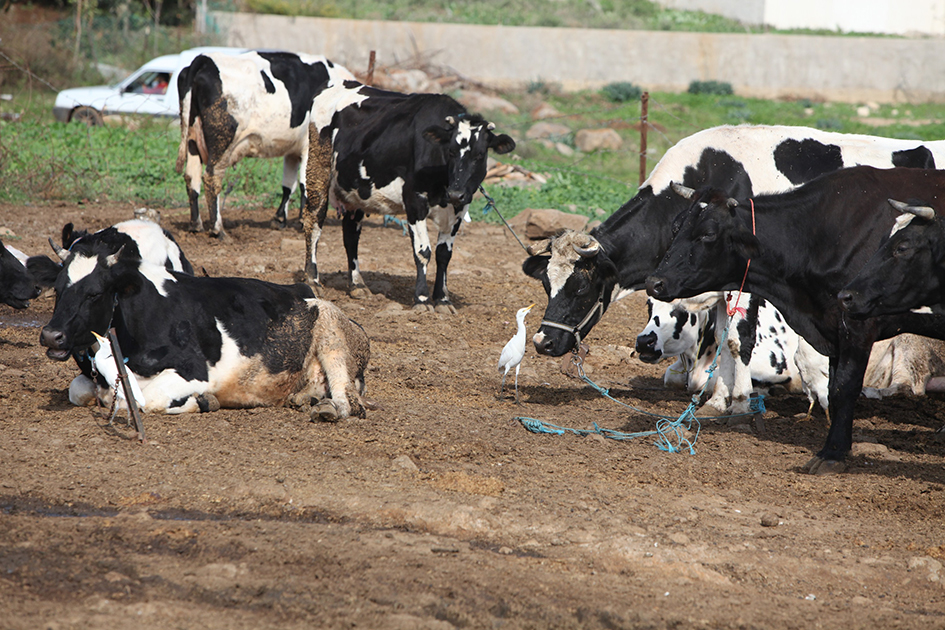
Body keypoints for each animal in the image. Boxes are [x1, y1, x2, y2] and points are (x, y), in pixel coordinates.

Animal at [37, 225, 370, 418]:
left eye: (94, 293)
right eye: (58, 288)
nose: (51, 335)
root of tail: (303, 290)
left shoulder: (194, 372)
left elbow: (139, 399)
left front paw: (201, 402)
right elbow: (79, 391)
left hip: (332, 333)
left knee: (350, 402)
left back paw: (329, 409)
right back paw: (306, 398)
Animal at [176, 50, 354, 239]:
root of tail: (205, 59)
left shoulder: (292, 150)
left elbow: (288, 186)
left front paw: (280, 219)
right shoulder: (309, 146)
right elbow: (305, 185)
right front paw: (303, 221)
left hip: (192, 140)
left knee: (191, 177)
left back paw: (196, 224)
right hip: (223, 142)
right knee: (211, 177)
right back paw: (218, 229)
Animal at [302, 81, 512, 314]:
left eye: (480, 155)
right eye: (450, 151)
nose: (456, 193)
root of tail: (341, 83)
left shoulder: (458, 209)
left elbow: (444, 254)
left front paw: (442, 299)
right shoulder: (414, 202)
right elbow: (423, 251)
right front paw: (422, 298)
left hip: (354, 191)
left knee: (350, 235)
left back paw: (357, 285)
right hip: (318, 171)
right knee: (314, 222)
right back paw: (313, 280)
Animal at [524, 124, 944, 418]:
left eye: (580, 288)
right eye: (546, 284)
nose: (543, 342)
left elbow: (737, 337)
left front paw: (734, 399)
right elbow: (721, 334)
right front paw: (718, 395)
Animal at [640, 165, 945, 472]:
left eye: (708, 233)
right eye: (677, 227)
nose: (655, 282)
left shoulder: (857, 324)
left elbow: (844, 388)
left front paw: (832, 452)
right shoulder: (832, 330)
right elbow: (833, 387)